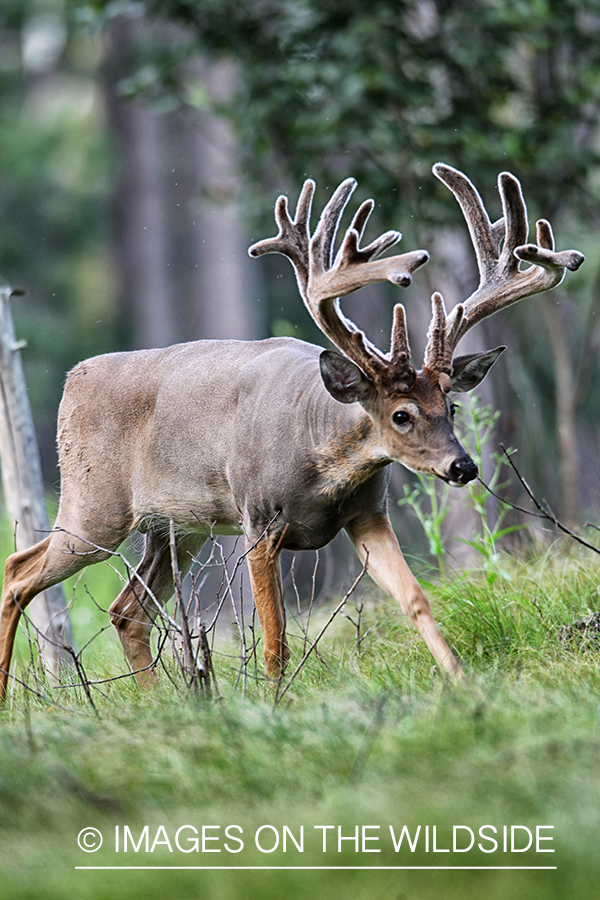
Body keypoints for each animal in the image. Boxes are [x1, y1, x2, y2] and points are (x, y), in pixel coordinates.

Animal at [0, 163, 584, 696]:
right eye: (401, 414)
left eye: (452, 408)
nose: (463, 466)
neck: (322, 457)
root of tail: (73, 380)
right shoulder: (259, 518)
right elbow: (275, 637)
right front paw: (274, 702)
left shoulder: (367, 514)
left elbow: (416, 599)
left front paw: (462, 681)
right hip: (93, 506)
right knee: (18, 570)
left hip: (177, 528)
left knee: (127, 610)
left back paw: (156, 702)